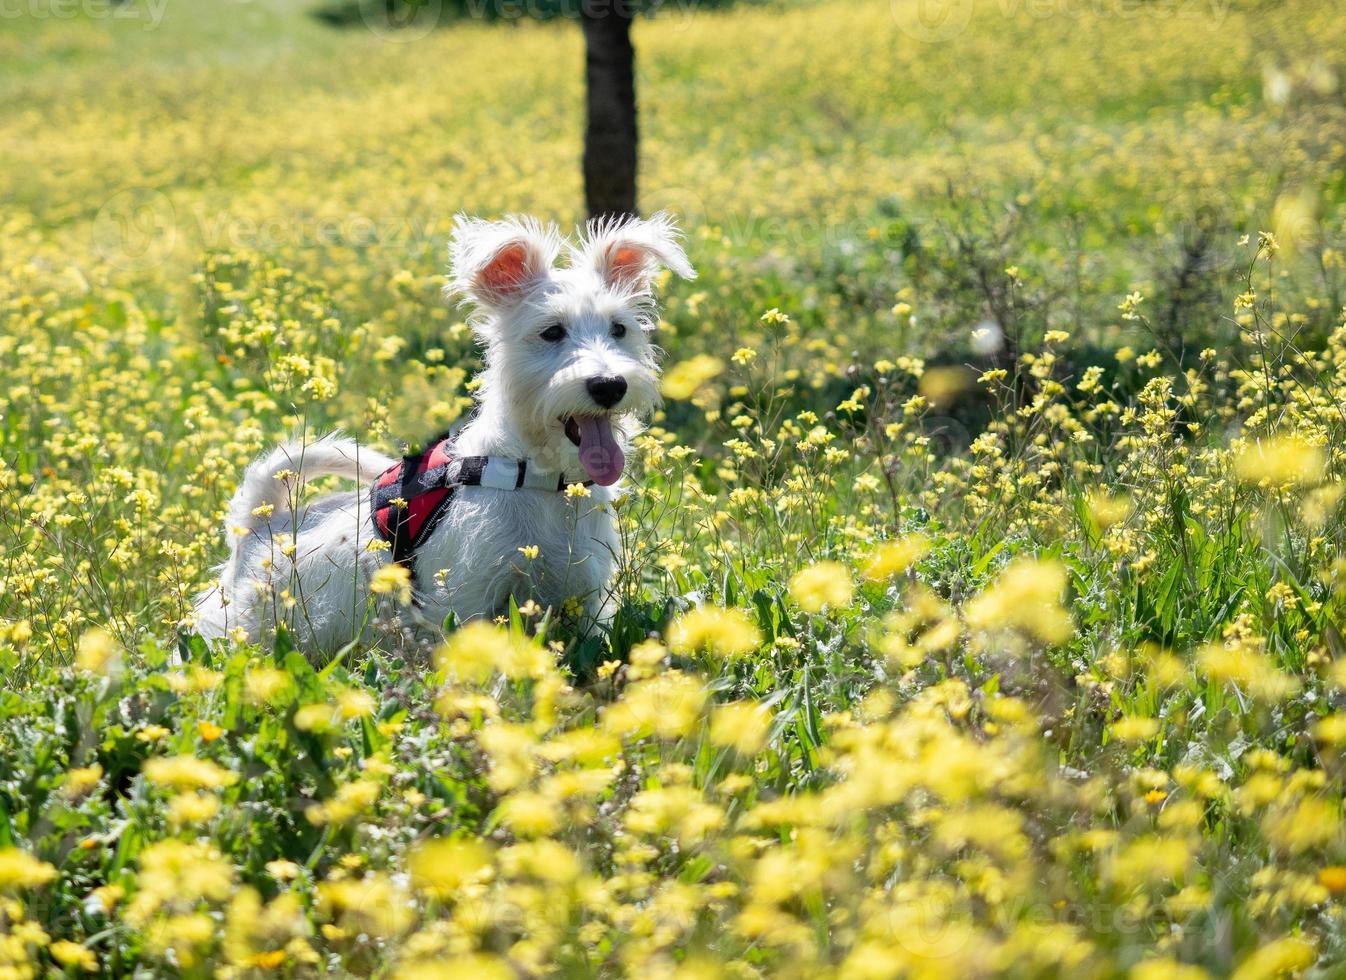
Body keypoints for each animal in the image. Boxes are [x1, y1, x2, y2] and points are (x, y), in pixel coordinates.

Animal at [196, 212, 699, 651]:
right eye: (552, 331)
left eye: (619, 328)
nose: (609, 385)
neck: (536, 478)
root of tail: (259, 524)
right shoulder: (467, 600)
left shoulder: (585, 599)